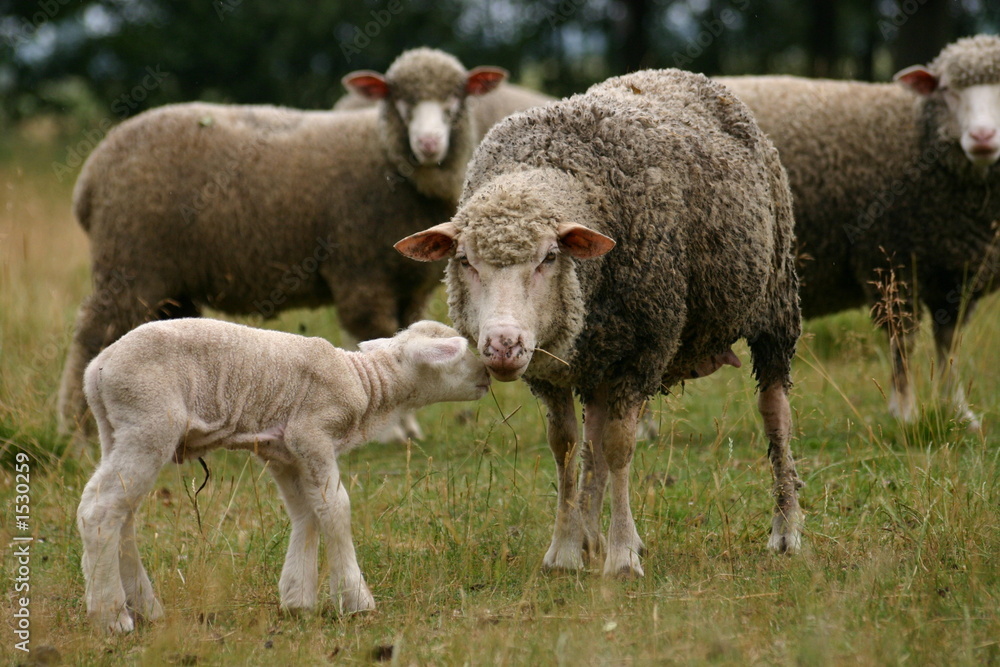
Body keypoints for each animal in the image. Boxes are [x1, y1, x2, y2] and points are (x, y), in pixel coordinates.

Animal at [58, 47, 524, 446]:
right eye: (397, 98)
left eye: (457, 96)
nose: (428, 144)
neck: (393, 163)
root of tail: (90, 175)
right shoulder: (360, 270)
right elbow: (374, 332)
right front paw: (394, 431)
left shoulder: (409, 284)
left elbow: (401, 333)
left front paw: (408, 424)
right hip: (130, 261)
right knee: (93, 334)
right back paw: (77, 431)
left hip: (168, 278)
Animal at [76, 318, 490, 633]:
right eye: (458, 353)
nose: (488, 373)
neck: (365, 383)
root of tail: (98, 368)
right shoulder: (312, 431)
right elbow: (336, 508)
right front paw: (355, 599)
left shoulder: (283, 452)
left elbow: (307, 512)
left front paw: (297, 599)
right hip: (149, 420)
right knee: (100, 510)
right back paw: (111, 616)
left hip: (116, 430)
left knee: (122, 514)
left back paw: (145, 607)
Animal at [395, 68, 804, 576]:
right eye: (465, 260)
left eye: (550, 258)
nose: (503, 345)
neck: (552, 164)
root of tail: (680, 74)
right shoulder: (551, 367)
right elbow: (567, 447)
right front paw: (566, 551)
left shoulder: (643, 351)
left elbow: (619, 446)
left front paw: (623, 555)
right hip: (597, 351)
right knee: (593, 436)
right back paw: (591, 534)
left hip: (775, 303)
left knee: (775, 414)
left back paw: (785, 530)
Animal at [718, 34, 1000, 429]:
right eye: (946, 90)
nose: (983, 136)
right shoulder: (890, 259)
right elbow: (903, 342)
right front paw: (905, 413)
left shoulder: (957, 274)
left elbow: (950, 344)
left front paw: (958, 411)